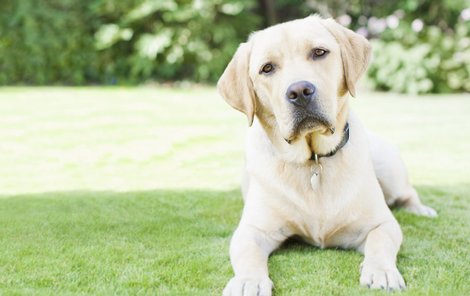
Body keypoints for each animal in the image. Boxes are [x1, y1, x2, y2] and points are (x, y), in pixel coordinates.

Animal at [217, 16, 436, 296]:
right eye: (267, 68)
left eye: (319, 52)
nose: (300, 91)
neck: (314, 160)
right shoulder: (252, 229)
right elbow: (247, 253)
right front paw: (248, 281)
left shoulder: (381, 223)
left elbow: (380, 241)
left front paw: (381, 271)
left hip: (389, 168)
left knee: (408, 193)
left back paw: (421, 210)